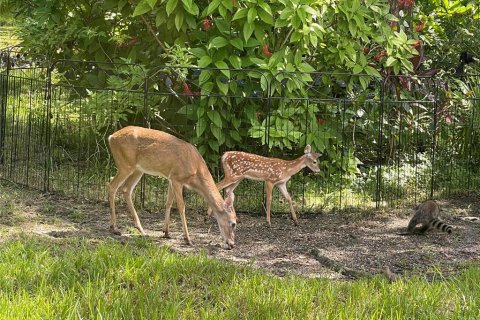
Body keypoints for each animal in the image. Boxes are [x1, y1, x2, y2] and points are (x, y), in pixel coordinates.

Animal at [108, 126, 237, 249]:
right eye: (233, 223)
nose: (232, 244)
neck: (196, 169)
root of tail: (111, 137)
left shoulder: (171, 179)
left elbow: (168, 202)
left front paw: (166, 232)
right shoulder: (177, 179)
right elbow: (181, 206)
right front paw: (188, 239)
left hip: (138, 169)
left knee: (126, 189)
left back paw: (141, 230)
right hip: (125, 165)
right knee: (112, 185)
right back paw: (114, 228)